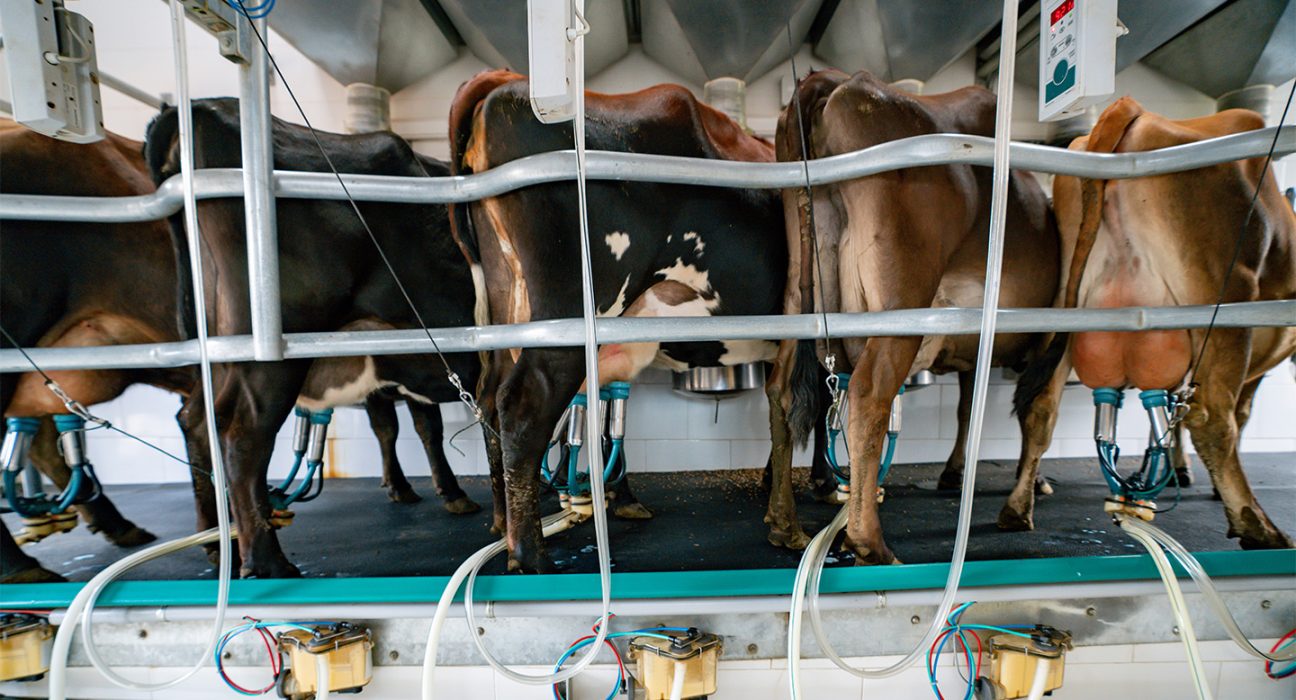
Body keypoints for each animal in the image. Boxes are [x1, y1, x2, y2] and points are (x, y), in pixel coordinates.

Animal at [767, 70, 1062, 562]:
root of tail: (832, 81)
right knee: (868, 394)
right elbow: (1038, 412)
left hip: (800, 292)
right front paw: (1021, 504)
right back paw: (869, 543)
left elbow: (967, 407)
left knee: (783, 391)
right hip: (901, 298)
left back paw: (785, 524)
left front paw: (956, 472)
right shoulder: (1054, 335)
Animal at [1021, 95, 1296, 549]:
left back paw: (1016, 508)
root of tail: (1134, 108)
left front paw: (1177, 469)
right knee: (1212, 418)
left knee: (1042, 404)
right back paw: (1257, 527)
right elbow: (1236, 414)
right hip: (1227, 298)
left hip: (1065, 305)